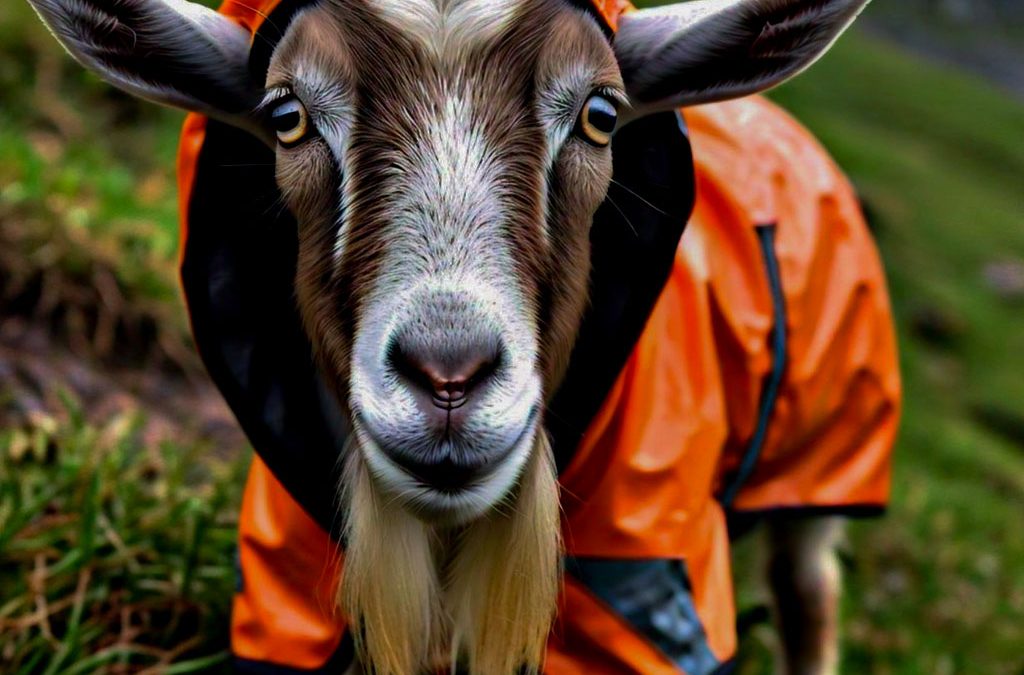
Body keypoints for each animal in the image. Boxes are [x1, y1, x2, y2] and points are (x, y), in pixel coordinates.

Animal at [25, 1, 890, 673]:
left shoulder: (643, 576)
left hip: (824, 467)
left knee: (809, 591)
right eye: (286, 116)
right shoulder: (287, 586)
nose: (448, 376)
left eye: (601, 114)